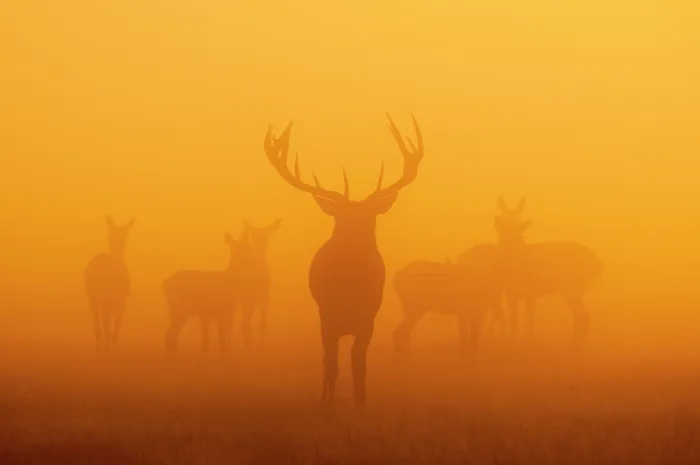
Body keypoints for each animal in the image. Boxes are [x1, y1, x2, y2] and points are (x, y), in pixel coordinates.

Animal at [84, 216, 135, 353]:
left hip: (94, 300)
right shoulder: (120, 305)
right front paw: (113, 352)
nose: (118, 242)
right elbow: (114, 332)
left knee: (98, 329)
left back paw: (99, 351)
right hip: (105, 302)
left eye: (125, 234)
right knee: (106, 330)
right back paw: (105, 352)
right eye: (110, 235)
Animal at [239, 219, 282, 348]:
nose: (262, 247)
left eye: (267, 235)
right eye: (254, 235)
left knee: (245, 321)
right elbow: (262, 322)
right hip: (251, 297)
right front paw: (261, 345)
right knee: (247, 321)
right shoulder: (264, 298)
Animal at [262, 114, 424, 408]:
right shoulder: (327, 317)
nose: (357, 244)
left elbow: (359, 364)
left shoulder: (368, 319)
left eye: (371, 218)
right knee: (326, 361)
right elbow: (331, 363)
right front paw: (328, 404)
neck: (350, 289)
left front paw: (361, 404)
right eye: (343, 219)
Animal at [492, 196, 603, 350]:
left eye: (519, 227)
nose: (511, 244)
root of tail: (597, 264)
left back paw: (574, 349)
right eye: (503, 226)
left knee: (583, 317)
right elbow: (522, 320)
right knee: (581, 318)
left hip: (572, 290)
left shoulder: (524, 291)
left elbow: (524, 321)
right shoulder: (517, 293)